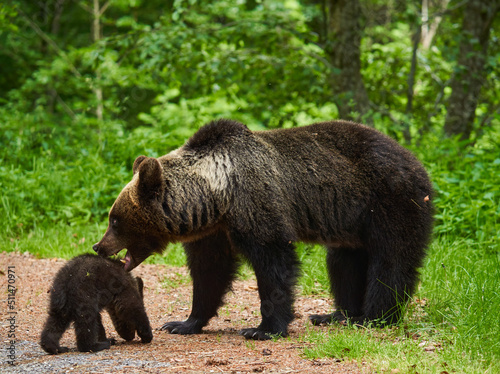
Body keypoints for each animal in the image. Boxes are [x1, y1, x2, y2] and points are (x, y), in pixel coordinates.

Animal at [94, 119, 434, 338]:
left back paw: (374, 317)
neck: (217, 197)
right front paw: (184, 323)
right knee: (343, 263)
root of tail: (418, 163)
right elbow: (209, 272)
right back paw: (336, 314)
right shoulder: (214, 232)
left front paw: (263, 328)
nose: (98, 246)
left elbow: (274, 263)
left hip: (389, 201)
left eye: (114, 219)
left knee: (391, 260)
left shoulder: (256, 203)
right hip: (350, 224)